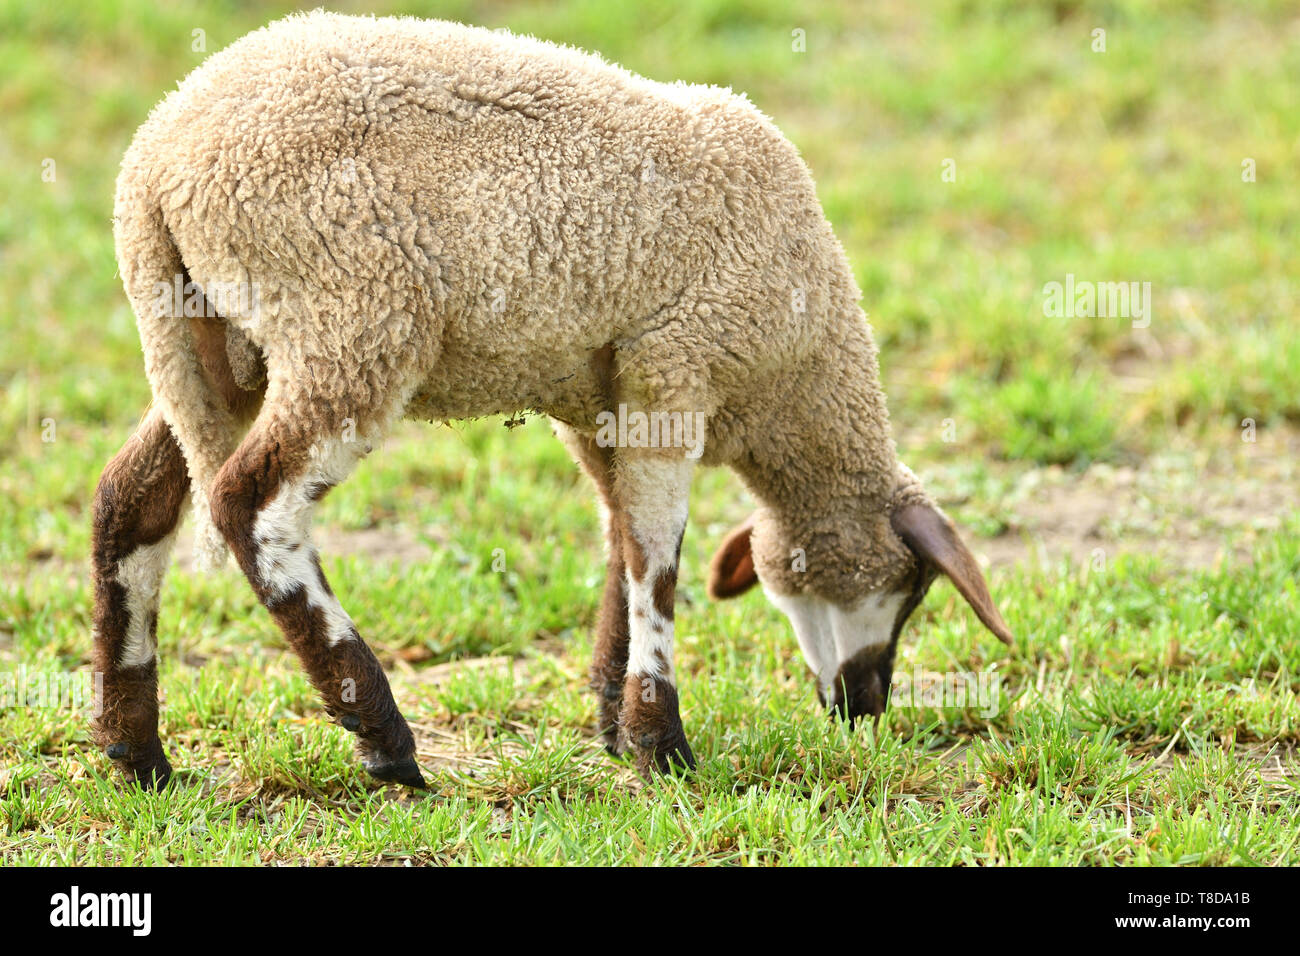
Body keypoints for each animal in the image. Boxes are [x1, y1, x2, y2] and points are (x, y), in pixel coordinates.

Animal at [93, 11, 1013, 789]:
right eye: (912, 589)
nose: (865, 709)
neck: (794, 380)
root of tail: (155, 170)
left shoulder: (599, 396)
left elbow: (621, 537)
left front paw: (612, 718)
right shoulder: (673, 367)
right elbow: (657, 560)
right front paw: (661, 746)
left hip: (213, 346)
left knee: (131, 500)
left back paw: (136, 752)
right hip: (351, 319)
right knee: (251, 504)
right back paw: (382, 735)